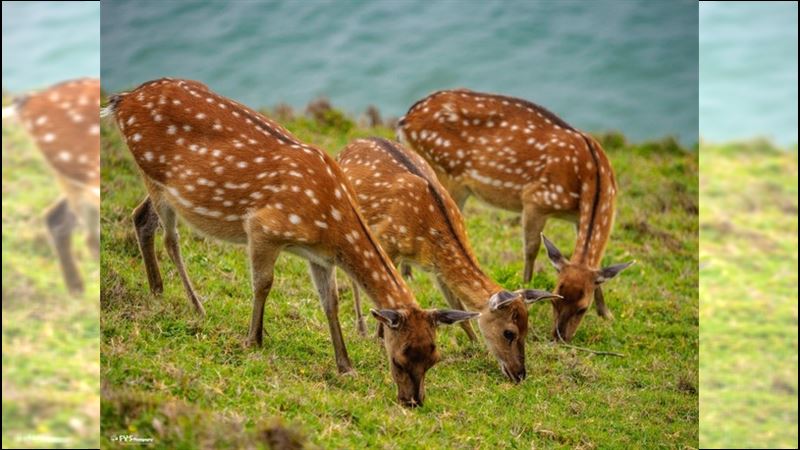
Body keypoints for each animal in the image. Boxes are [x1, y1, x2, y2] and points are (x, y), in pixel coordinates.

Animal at [102, 78, 477, 407]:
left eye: (434, 358)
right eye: (399, 358)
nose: (412, 401)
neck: (332, 222)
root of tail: (122, 100)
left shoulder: (320, 256)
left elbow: (330, 302)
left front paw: (345, 366)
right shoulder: (262, 228)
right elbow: (263, 284)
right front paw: (253, 340)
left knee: (141, 217)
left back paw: (157, 291)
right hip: (155, 175)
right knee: (171, 238)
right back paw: (195, 305)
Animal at [337, 137, 560, 382]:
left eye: (528, 328)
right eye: (509, 332)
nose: (520, 374)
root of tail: (351, 143)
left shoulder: (437, 268)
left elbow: (457, 305)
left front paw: (476, 346)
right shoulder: (388, 242)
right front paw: (380, 342)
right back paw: (361, 330)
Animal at [397, 89, 634, 342]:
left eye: (582, 308)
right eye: (555, 299)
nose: (559, 337)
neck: (590, 181)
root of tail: (405, 120)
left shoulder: (577, 219)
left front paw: (606, 314)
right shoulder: (535, 199)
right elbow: (531, 249)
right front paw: (527, 286)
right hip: (445, 174)